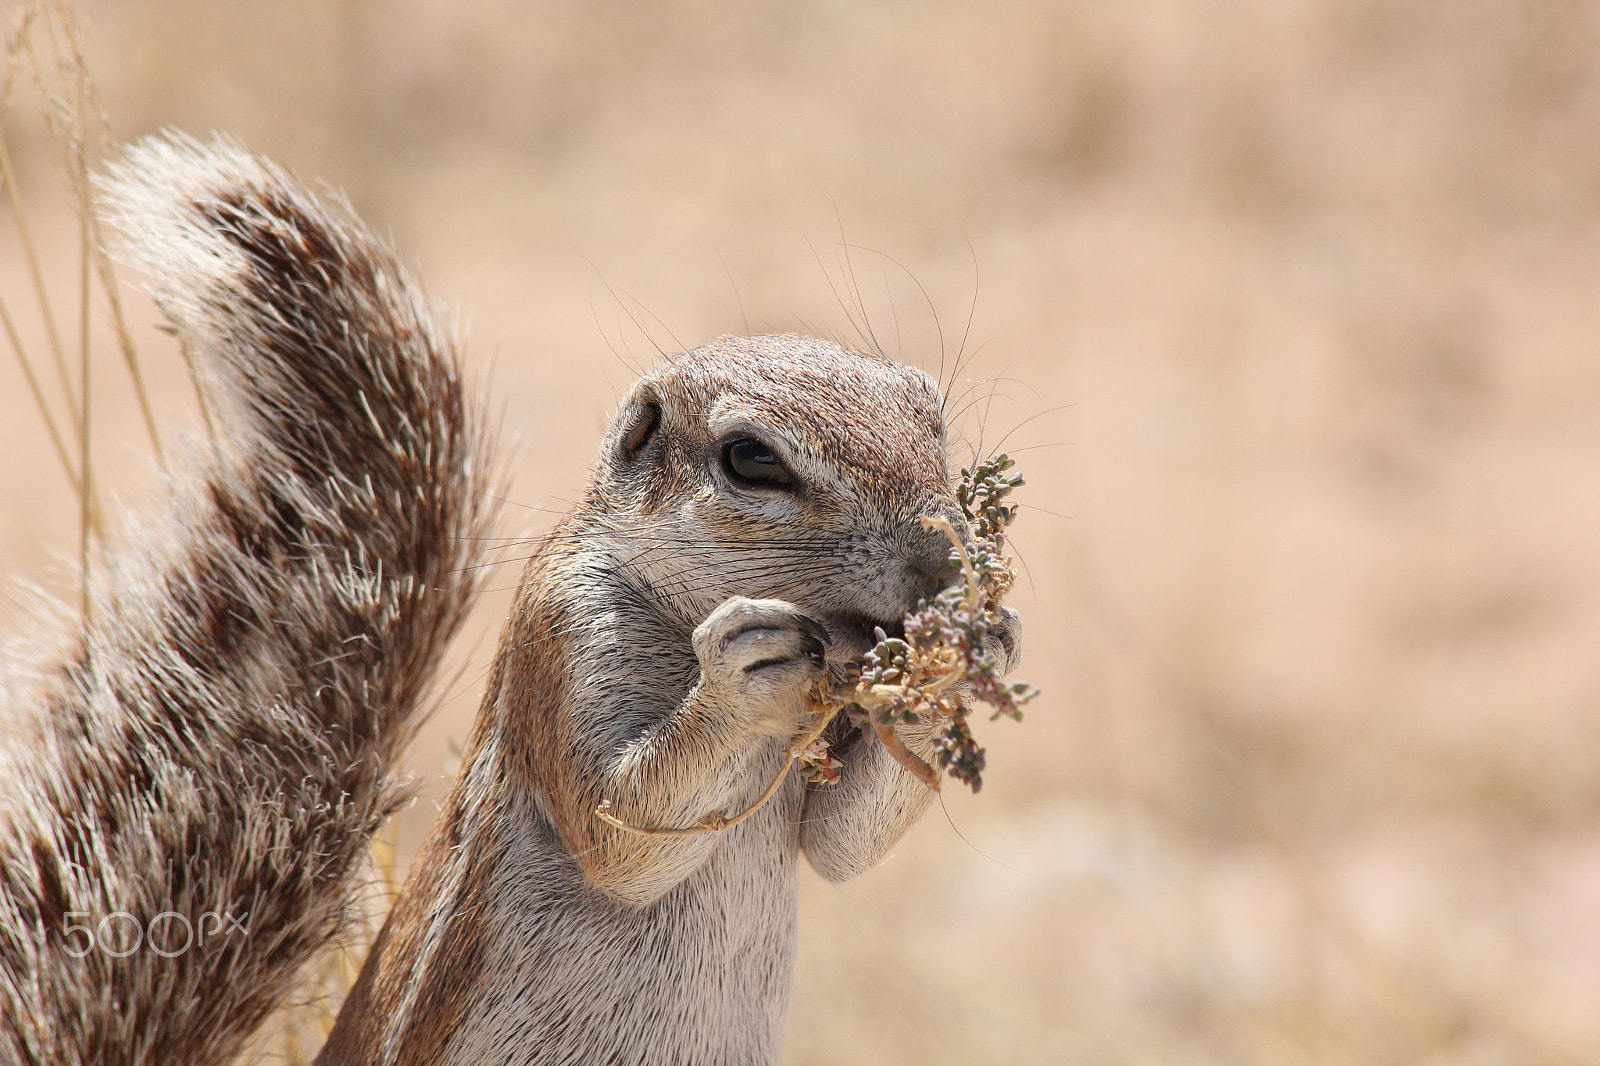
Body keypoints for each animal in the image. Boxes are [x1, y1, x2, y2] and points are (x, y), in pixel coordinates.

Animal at [0, 134, 1021, 1065]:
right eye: (750, 459)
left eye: (930, 413)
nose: (946, 562)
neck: (672, 605)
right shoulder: (563, 639)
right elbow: (622, 829)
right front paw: (742, 675)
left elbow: (842, 848)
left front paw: (976, 649)